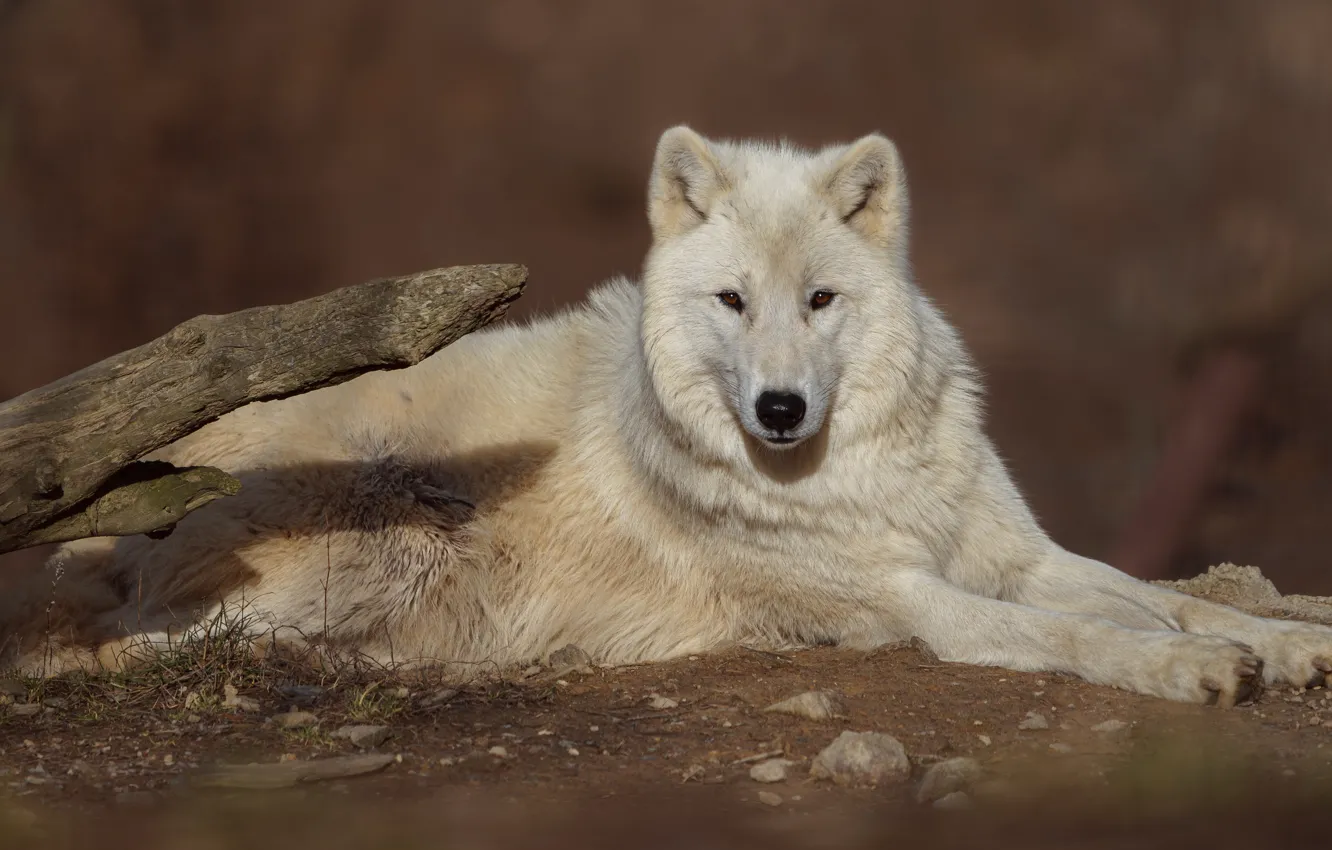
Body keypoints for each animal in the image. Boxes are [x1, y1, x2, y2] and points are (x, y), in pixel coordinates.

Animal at [4, 126, 1330, 706]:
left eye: (821, 298)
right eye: (732, 300)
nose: (781, 407)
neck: (848, 476)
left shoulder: (1013, 552)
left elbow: (1148, 591)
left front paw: (1283, 641)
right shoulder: (909, 600)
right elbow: (1081, 632)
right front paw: (1196, 669)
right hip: (395, 535)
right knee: (128, 645)